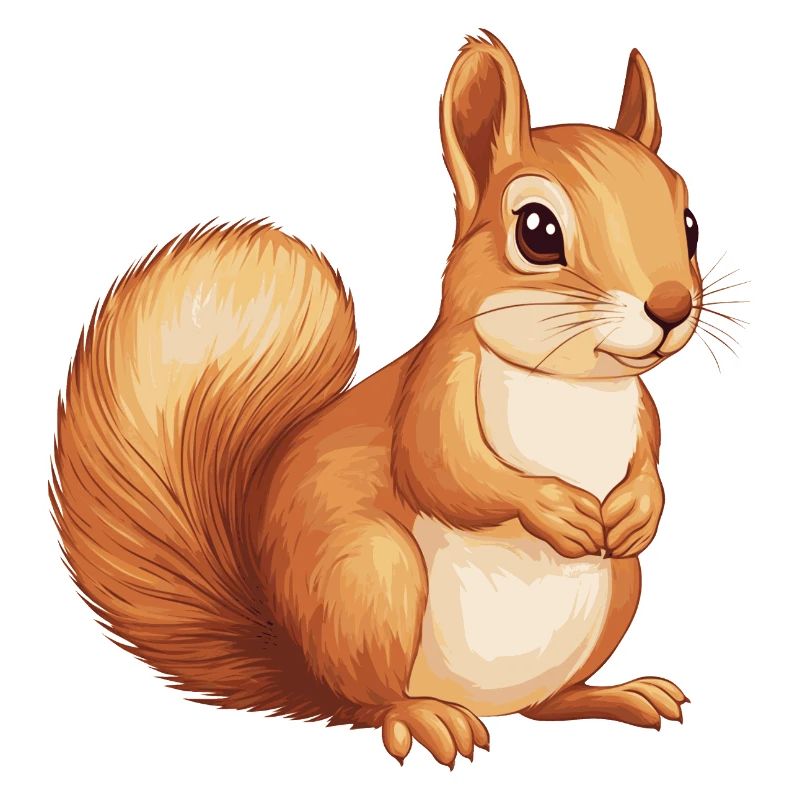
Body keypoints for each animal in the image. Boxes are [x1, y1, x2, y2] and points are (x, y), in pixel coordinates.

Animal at [51, 32, 701, 767]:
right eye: (537, 231)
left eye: (689, 222)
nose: (671, 307)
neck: (573, 386)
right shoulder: (432, 391)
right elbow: (446, 472)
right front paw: (552, 507)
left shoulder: (644, 413)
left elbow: (649, 464)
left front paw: (639, 508)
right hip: (370, 581)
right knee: (370, 703)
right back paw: (425, 718)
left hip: (621, 589)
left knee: (547, 702)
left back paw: (615, 694)